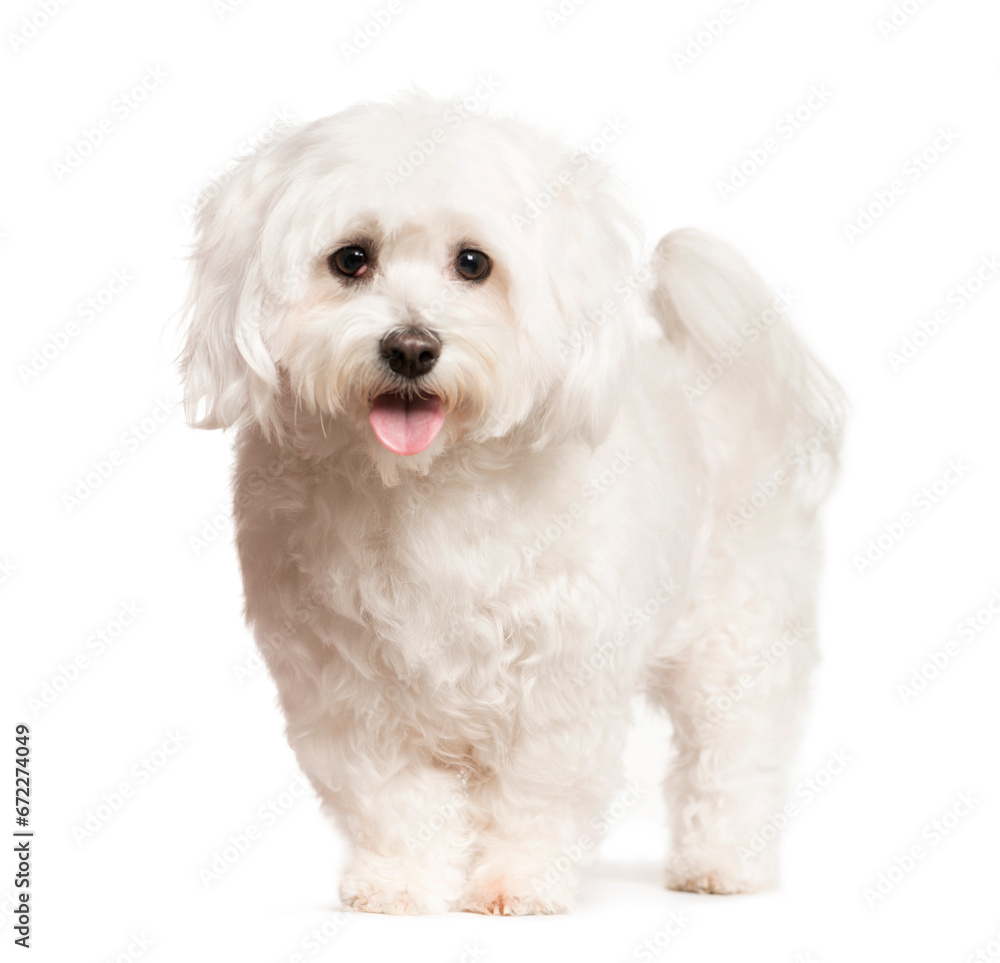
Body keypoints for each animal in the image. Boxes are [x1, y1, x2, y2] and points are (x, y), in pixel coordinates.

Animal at [178, 94, 844, 916]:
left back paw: (722, 863)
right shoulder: (344, 684)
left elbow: (537, 792)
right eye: (350, 259)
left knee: (737, 747)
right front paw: (403, 880)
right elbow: (390, 794)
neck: (426, 486)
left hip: (739, 627)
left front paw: (515, 881)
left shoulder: (560, 675)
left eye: (474, 263)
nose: (410, 347)